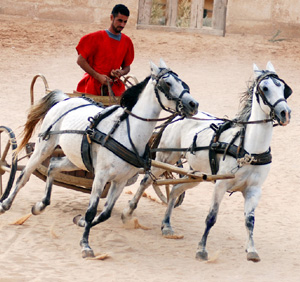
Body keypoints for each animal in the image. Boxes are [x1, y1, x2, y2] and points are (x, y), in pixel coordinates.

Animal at [0, 59, 199, 258]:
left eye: (182, 82)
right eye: (168, 83)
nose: (193, 104)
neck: (128, 134)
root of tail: (65, 99)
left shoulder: (120, 181)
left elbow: (105, 213)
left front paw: (80, 221)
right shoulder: (101, 176)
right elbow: (91, 211)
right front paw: (85, 245)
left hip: (75, 159)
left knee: (53, 167)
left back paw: (40, 205)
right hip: (44, 147)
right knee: (24, 175)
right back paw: (6, 203)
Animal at [121, 61, 290, 262]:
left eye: (283, 88)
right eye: (265, 88)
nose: (285, 112)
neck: (249, 150)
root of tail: (177, 116)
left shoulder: (254, 190)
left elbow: (250, 221)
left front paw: (251, 250)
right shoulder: (220, 185)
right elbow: (211, 217)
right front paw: (201, 249)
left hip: (196, 175)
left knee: (175, 189)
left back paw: (167, 225)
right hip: (165, 158)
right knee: (147, 181)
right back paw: (128, 211)